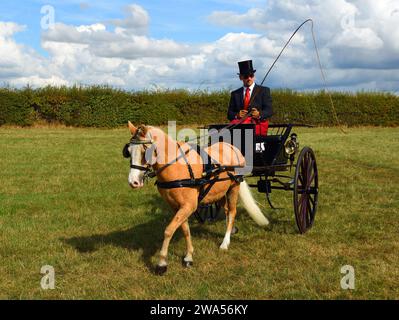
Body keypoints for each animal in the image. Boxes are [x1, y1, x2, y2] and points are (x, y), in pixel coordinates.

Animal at [124, 121, 268, 274]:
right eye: (128, 151)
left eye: (145, 151)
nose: (133, 182)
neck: (176, 166)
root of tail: (232, 147)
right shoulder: (177, 206)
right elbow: (185, 229)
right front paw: (188, 256)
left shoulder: (189, 206)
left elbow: (168, 230)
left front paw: (162, 263)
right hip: (219, 191)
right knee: (227, 210)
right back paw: (232, 229)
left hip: (234, 186)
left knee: (233, 211)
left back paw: (225, 242)